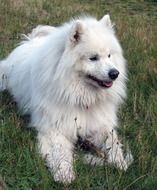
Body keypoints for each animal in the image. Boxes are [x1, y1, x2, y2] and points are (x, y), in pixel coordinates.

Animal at [0, 15, 132, 184]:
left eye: (109, 55)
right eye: (93, 58)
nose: (115, 73)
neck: (81, 97)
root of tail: (29, 41)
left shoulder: (100, 124)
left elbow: (112, 142)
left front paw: (119, 161)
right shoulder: (54, 128)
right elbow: (60, 152)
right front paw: (64, 173)